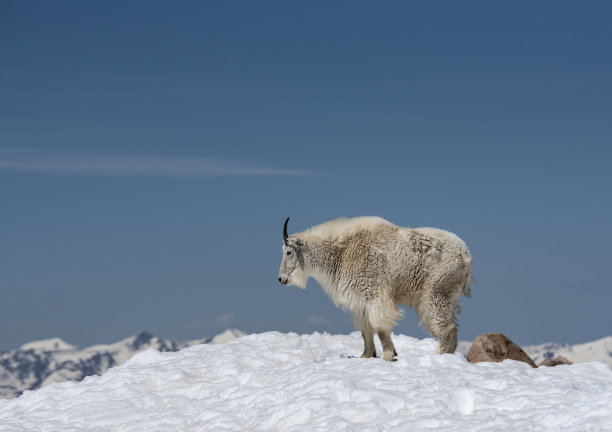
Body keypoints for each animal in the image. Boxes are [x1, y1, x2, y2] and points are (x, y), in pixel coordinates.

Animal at [278, 216, 474, 362]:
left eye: (288, 252)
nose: (281, 279)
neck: (342, 251)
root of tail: (466, 255)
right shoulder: (360, 300)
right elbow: (365, 330)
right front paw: (366, 355)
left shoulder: (374, 294)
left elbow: (379, 325)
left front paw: (388, 354)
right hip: (445, 295)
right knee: (453, 327)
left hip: (436, 293)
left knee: (446, 327)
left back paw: (439, 355)